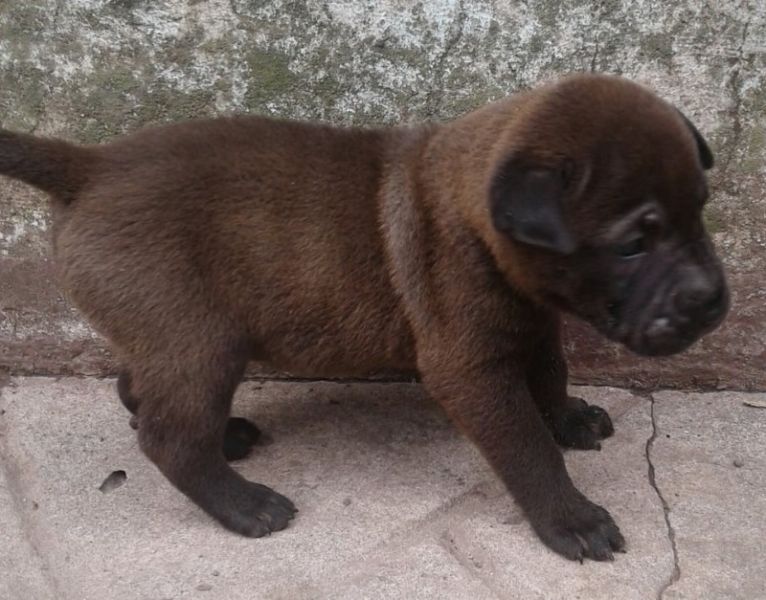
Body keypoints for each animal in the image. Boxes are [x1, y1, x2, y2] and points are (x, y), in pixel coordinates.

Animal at [0, 75, 728, 564]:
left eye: (699, 209)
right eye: (632, 245)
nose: (711, 299)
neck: (473, 213)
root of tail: (91, 166)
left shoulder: (536, 321)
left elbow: (550, 374)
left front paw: (569, 417)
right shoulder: (471, 371)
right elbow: (527, 449)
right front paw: (570, 518)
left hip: (168, 336)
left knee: (138, 388)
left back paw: (226, 438)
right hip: (198, 344)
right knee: (169, 438)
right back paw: (244, 504)